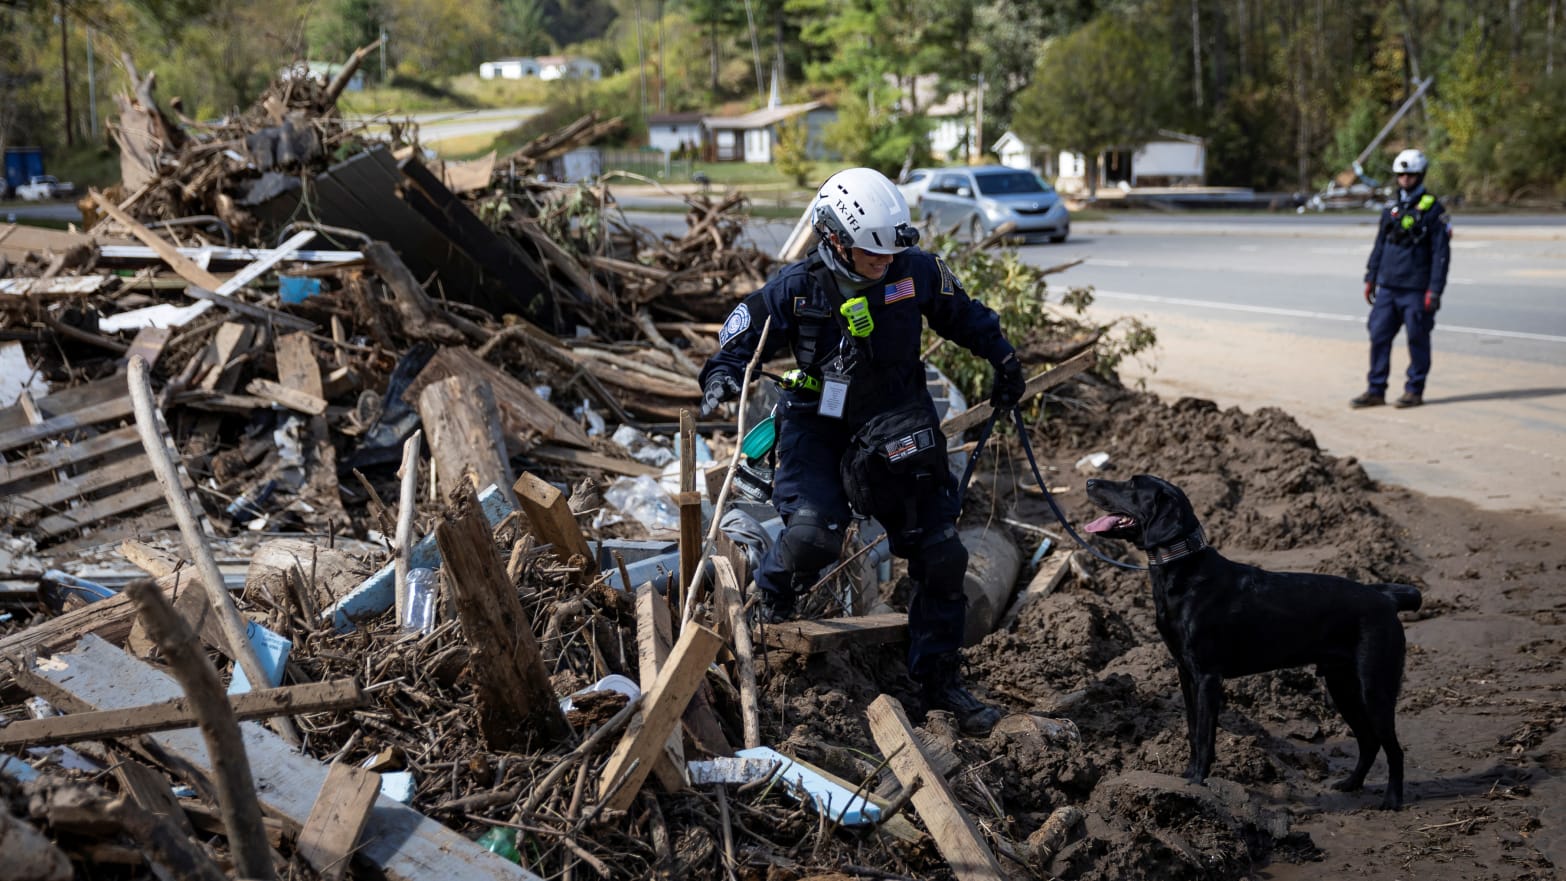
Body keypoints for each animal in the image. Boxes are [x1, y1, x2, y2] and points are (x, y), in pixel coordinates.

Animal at [1083, 478, 1428, 807]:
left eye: (1132, 484)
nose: (1089, 482)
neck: (1183, 572)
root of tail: (1386, 599)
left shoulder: (1208, 677)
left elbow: (1205, 736)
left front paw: (1197, 781)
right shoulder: (1186, 674)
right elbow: (1193, 731)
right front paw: (1187, 774)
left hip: (1375, 688)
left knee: (1393, 748)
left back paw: (1392, 800)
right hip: (1342, 686)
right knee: (1369, 741)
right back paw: (1350, 784)